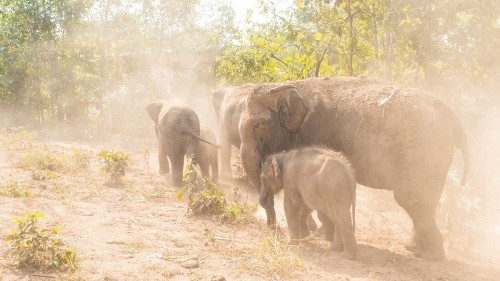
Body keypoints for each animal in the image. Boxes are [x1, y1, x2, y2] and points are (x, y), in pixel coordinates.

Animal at [238, 75, 468, 260]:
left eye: (258, 126)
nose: (272, 229)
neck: (288, 85)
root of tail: (455, 119)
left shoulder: (317, 129)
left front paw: (321, 235)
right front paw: (318, 234)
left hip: (425, 152)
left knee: (410, 198)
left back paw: (428, 256)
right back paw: (413, 248)